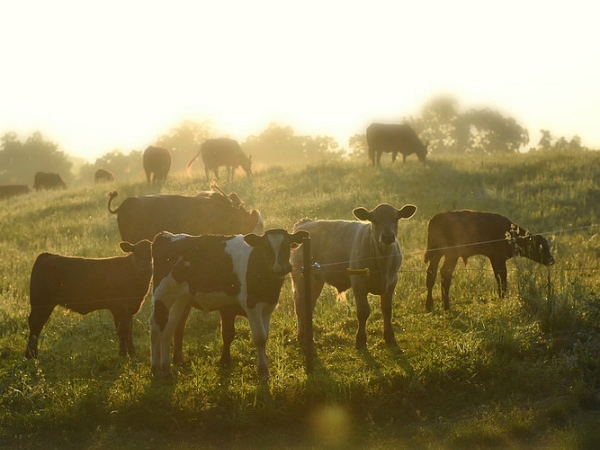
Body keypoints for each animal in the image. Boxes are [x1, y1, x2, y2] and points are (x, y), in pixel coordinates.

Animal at [150, 230, 310, 382]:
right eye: (266, 247)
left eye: (286, 246)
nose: (279, 268)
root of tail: (166, 236)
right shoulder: (251, 304)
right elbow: (259, 337)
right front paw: (263, 372)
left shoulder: (268, 308)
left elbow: (264, 336)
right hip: (162, 296)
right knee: (156, 327)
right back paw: (156, 369)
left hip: (179, 300)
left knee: (168, 329)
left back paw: (167, 369)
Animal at [292, 203, 418, 348]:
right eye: (374, 220)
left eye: (396, 219)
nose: (387, 236)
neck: (382, 261)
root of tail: (305, 222)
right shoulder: (358, 283)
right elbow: (363, 312)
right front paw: (361, 340)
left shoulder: (391, 282)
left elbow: (387, 309)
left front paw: (389, 337)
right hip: (300, 279)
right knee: (300, 306)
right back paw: (301, 337)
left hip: (315, 280)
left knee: (309, 305)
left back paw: (308, 338)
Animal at [424, 209, 556, 312]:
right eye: (541, 247)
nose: (551, 260)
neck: (511, 234)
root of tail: (437, 218)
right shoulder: (498, 259)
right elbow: (502, 278)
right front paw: (503, 298)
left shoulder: (495, 259)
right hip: (450, 255)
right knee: (445, 274)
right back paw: (446, 306)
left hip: (437, 255)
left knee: (431, 274)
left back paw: (430, 306)